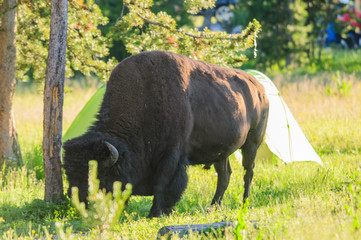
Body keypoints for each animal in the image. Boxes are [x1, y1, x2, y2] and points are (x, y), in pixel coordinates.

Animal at [63, 50, 268, 218]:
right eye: (69, 174)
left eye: (99, 177)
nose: (82, 207)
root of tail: (260, 89)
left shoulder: (171, 155)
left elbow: (162, 184)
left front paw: (156, 213)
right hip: (222, 152)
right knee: (224, 176)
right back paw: (213, 207)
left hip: (252, 142)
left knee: (248, 171)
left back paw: (244, 203)